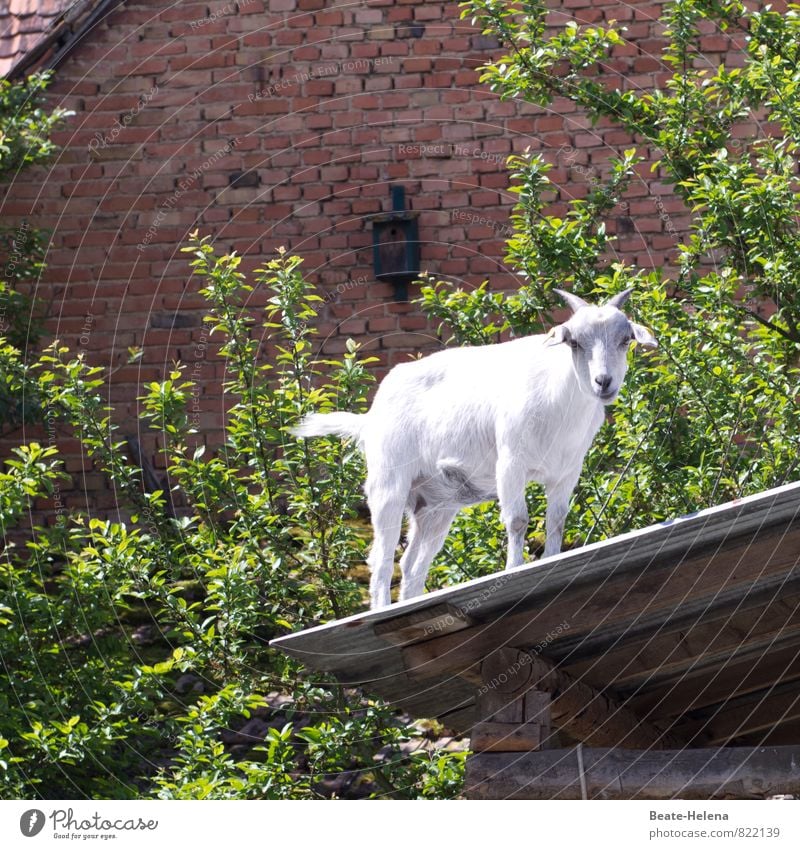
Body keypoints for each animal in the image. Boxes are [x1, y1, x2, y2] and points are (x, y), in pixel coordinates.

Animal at [294, 288, 656, 608]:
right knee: (381, 560)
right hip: (388, 485)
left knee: (411, 566)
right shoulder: (510, 465)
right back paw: (381, 608)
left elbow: (556, 522)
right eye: (575, 342)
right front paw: (513, 569)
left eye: (625, 340)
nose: (603, 382)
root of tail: (370, 418)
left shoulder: (566, 473)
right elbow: (517, 520)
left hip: (435, 506)